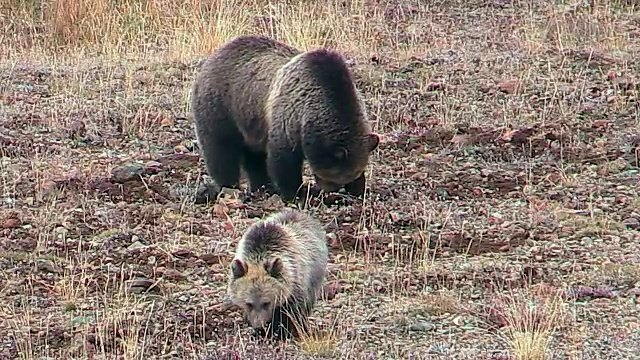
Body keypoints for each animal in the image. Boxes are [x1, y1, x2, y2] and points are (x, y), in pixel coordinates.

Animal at [190, 35, 380, 204]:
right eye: (335, 178)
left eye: (351, 176)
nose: (332, 192)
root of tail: (213, 57)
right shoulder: (289, 118)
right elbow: (284, 161)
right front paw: (295, 194)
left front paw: (359, 190)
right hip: (222, 107)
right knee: (221, 149)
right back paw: (229, 185)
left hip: (251, 121)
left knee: (254, 157)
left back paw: (263, 187)